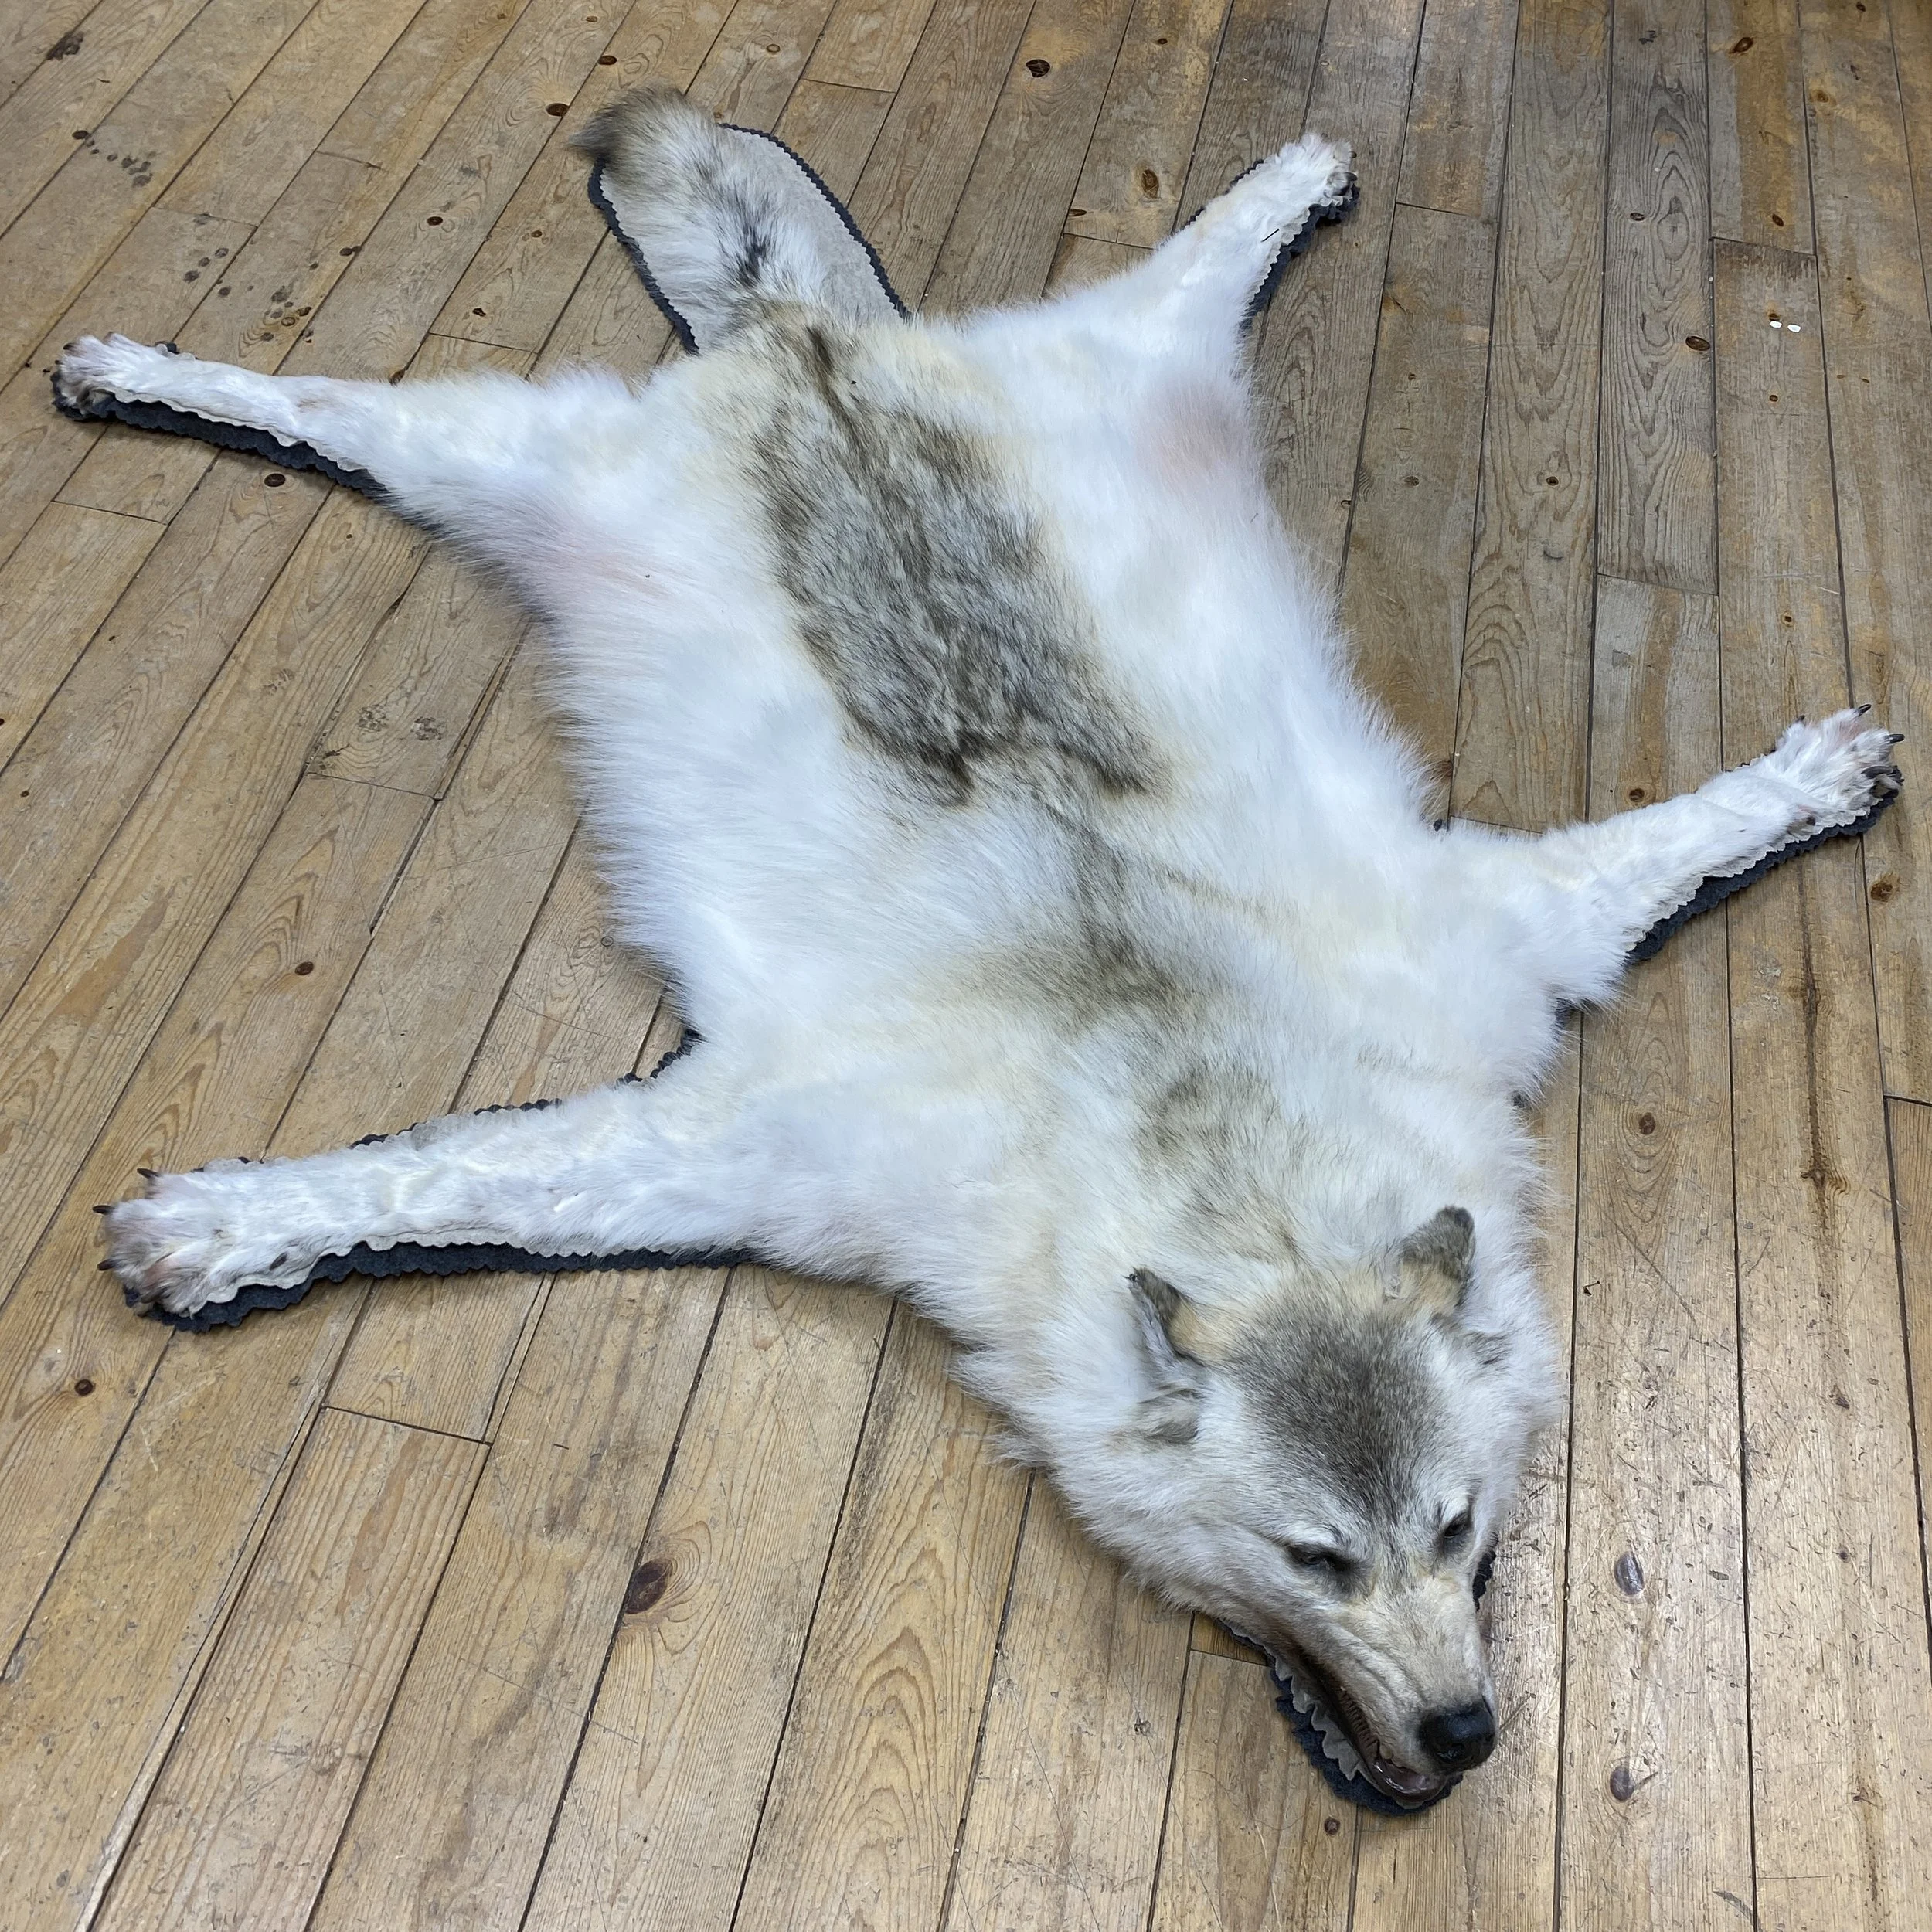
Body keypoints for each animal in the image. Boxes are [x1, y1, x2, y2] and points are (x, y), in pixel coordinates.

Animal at [55, 88, 1900, 1808]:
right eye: (1313, 1560)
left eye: (1458, 1527)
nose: (1464, 1736)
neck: (1214, 1128)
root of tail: (806, 340)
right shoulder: (748, 1146)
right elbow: (438, 1178)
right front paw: (224, 1227)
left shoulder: (1496, 941)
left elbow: (1668, 839)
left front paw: (1809, 779)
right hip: (518, 466)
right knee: (330, 403)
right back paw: (135, 364)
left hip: (1114, 371)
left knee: (1187, 270)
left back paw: (1288, 180)